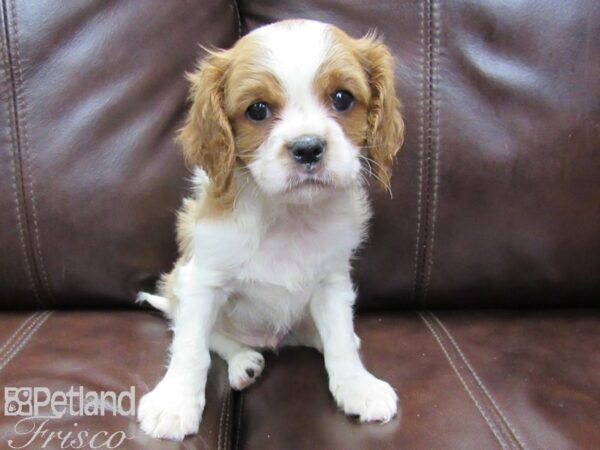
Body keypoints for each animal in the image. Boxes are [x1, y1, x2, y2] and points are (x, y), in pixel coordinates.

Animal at [138, 20, 406, 440]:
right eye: (258, 110)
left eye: (342, 99)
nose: (308, 148)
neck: (286, 215)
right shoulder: (201, 281)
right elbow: (192, 348)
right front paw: (175, 403)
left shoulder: (331, 282)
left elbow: (340, 340)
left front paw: (357, 386)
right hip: (179, 284)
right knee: (208, 335)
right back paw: (243, 362)